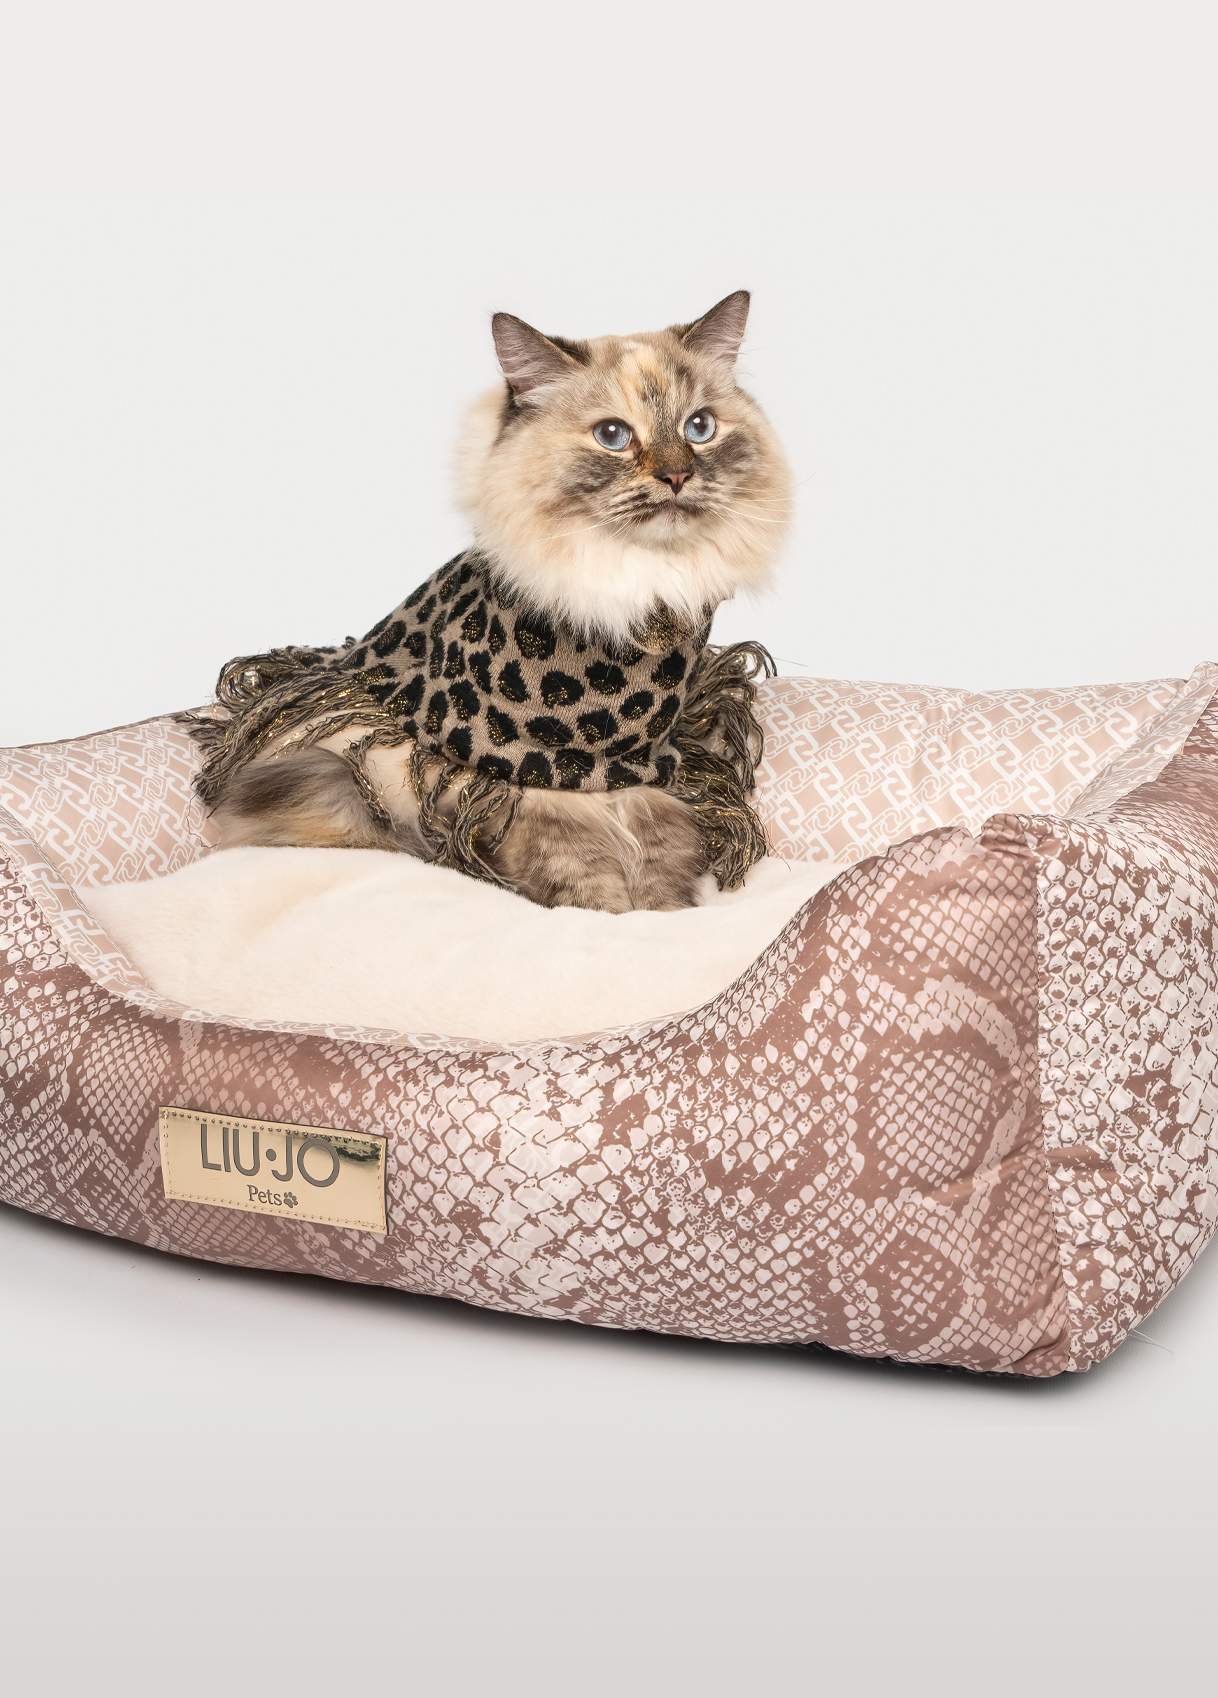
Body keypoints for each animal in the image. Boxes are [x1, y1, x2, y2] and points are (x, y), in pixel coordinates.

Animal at [191, 291, 792, 913]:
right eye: (612, 435)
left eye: (700, 427)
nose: (677, 475)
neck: (631, 587)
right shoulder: (520, 782)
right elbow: (580, 866)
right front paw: (607, 917)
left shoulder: (650, 770)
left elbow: (659, 855)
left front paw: (662, 917)